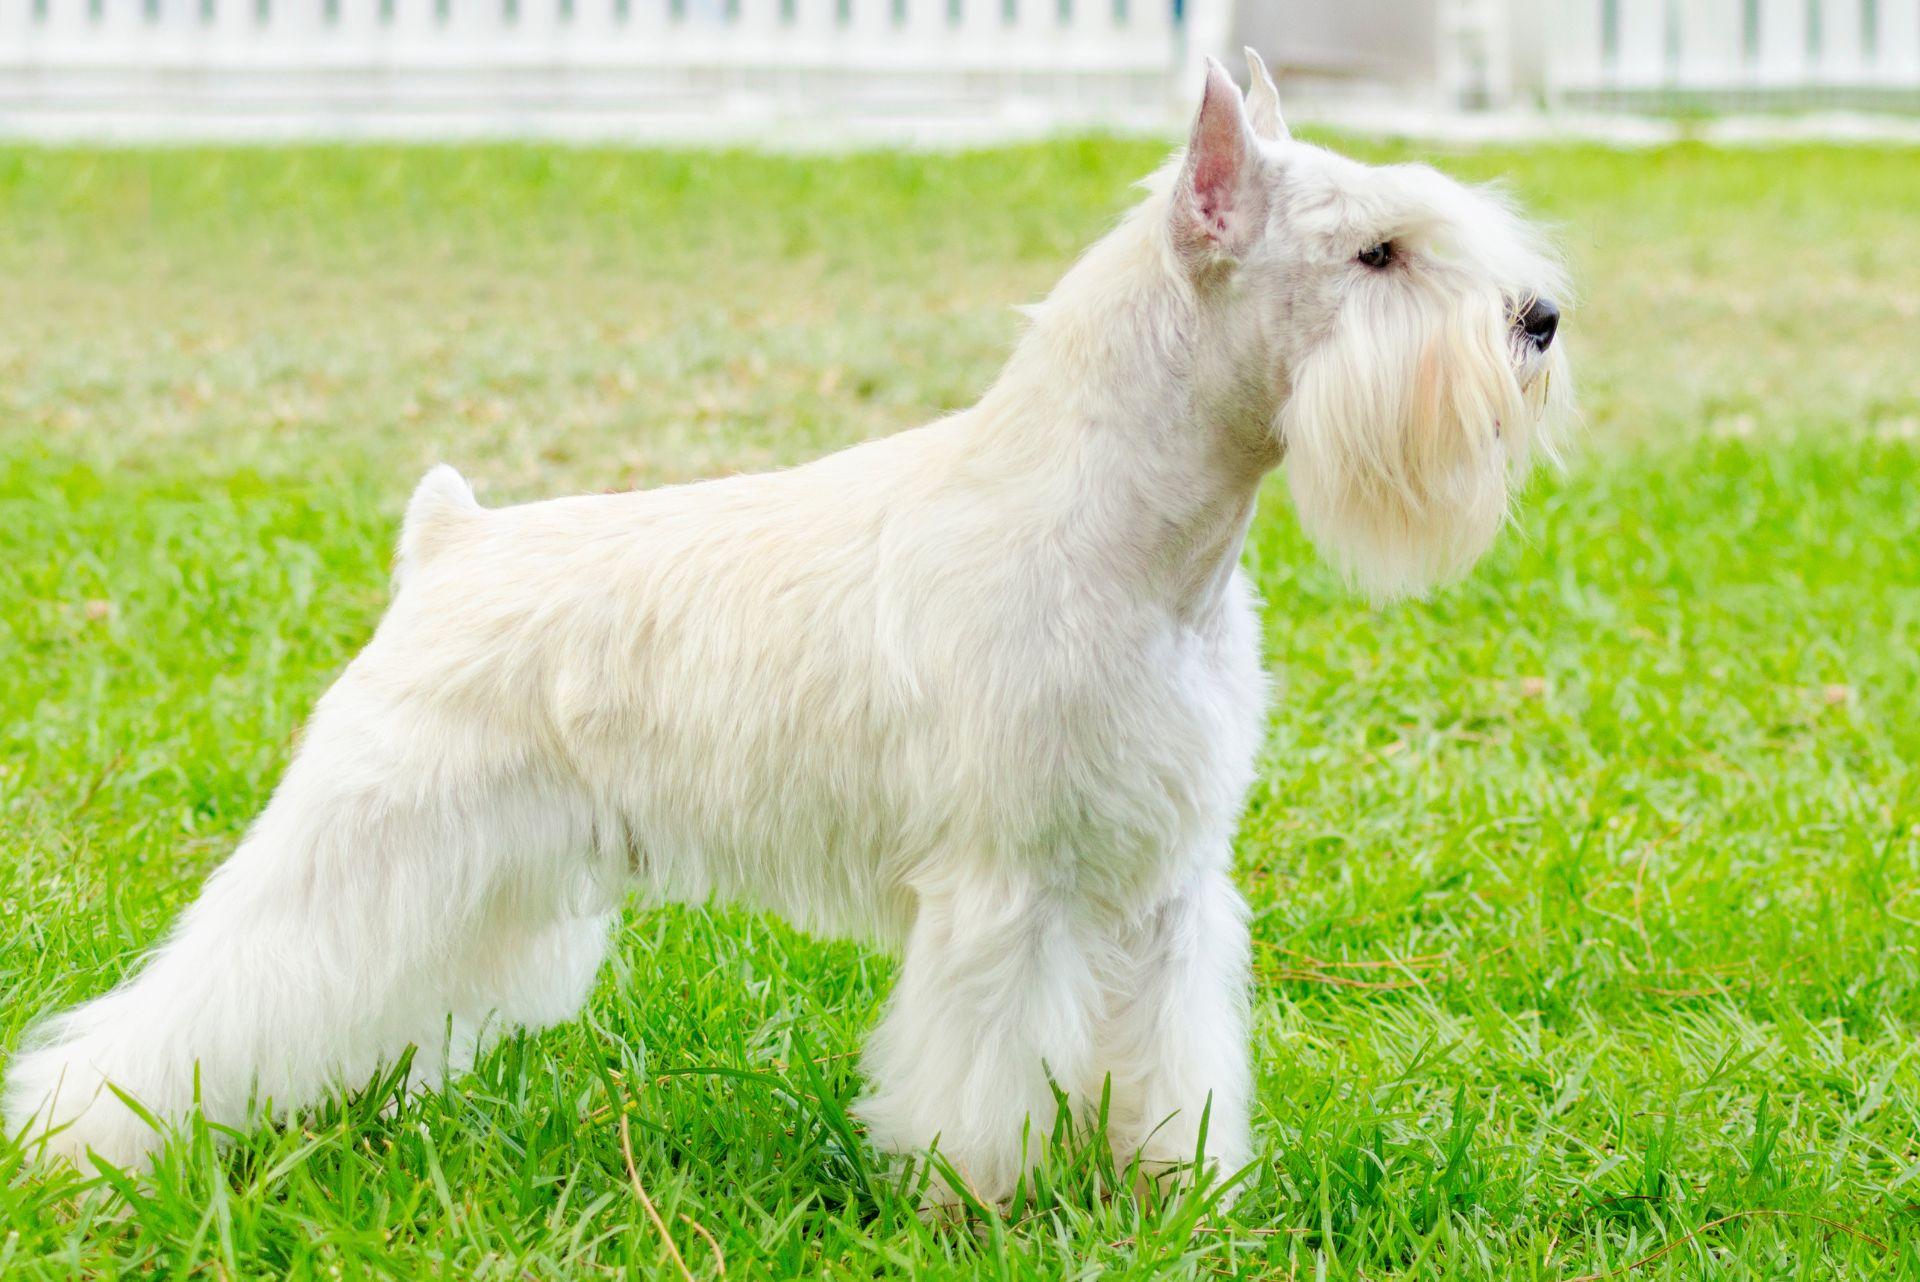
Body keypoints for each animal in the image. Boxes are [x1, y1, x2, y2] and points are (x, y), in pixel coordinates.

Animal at [0, 55, 1566, 1205]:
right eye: (1378, 253)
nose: (1540, 319)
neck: (1135, 534)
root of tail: (449, 541)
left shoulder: (1166, 883)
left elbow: (1171, 1066)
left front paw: (1176, 1197)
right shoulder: (1009, 892)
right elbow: (985, 1075)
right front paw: (977, 1207)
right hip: (360, 843)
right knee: (204, 998)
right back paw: (79, 1144)